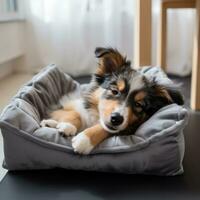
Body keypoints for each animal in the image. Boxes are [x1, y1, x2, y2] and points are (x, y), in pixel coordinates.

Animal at [41, 47, 184, 155]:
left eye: (138, 104)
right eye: (115, 91)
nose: (116, 119)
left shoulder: (127, 128)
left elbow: (106, 128)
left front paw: (84, 140)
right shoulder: (68, 104)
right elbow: (75, 113)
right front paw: (67, 126)